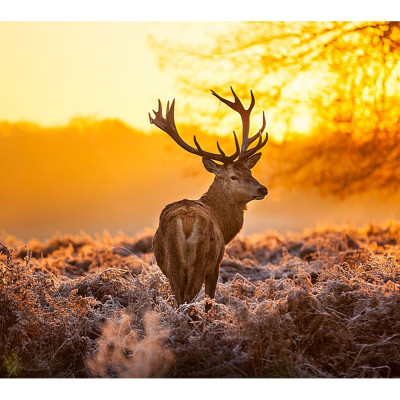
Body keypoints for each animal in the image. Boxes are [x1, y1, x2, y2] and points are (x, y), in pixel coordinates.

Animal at [149, 86, 268, 308]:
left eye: (250, 172)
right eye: (234, 176)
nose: (262, 189)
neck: (223, 224)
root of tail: (186, 220)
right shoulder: (216, 265)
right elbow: (209, 300)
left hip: (172, 264)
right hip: (201, 260)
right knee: (188, 299)